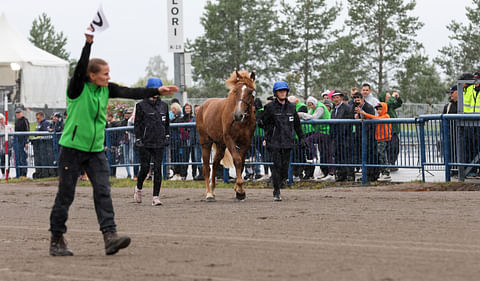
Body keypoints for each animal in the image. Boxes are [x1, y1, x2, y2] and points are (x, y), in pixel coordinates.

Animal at [195, 70, 256, 201]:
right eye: (235, 91)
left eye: (250, 92)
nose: (238, 115)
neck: (241, 122)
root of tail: (203, 106)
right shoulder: (229, 139)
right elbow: (237, 160)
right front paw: (240, 189)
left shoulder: (246, 142)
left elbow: (241, 163)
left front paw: (238, 190)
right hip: (205, 142)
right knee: (206, 167)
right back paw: (209, 193)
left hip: (220, 145)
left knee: (215, 164)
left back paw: (213, 190)